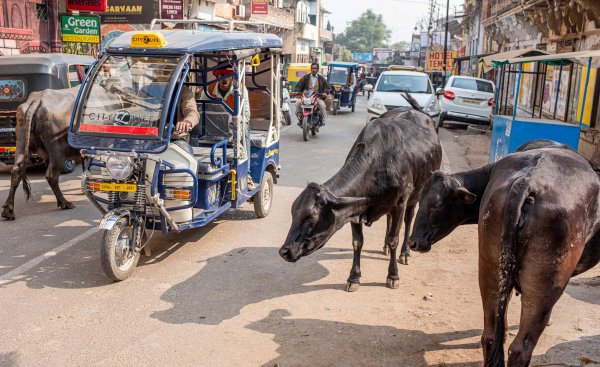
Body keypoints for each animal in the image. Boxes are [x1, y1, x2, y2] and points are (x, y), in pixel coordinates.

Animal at [1, 88, 79, 221]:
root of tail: (37, 100)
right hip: (57, 151)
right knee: (52, 175)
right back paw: (64, 202)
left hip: (21, 142)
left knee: (16, 171)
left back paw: (8, 210)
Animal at [278, 94, 442, 294]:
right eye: (293, 214)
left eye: (310, 217)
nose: (284, 251)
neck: (378, 163)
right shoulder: (355, 209)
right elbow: (357, 242)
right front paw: (353, 277)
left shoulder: (400, 202)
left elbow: (394, 238)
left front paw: (392, 275)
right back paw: (385, 247)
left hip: (415, 195)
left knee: (408, 220)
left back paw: (405, 253)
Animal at [410, 145, 600, 366]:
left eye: (437, 205)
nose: (413, 242)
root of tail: (529, 180)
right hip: (545, 284)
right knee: (520, 348)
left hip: (490, 269)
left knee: (491, 337)